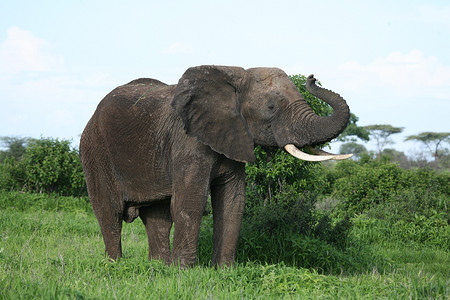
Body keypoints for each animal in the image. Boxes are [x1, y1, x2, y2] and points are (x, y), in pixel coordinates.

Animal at [79, 65, 352, 268]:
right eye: (271, 108)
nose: (312, 77)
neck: (234, 78)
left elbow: (232, 203)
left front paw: (224, 270)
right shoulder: (188, 141)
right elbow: (190, 202)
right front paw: (183, 273)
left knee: (158, 218)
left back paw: (158, 267)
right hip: (95, 150)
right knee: (109, 212)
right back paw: (115, 265)